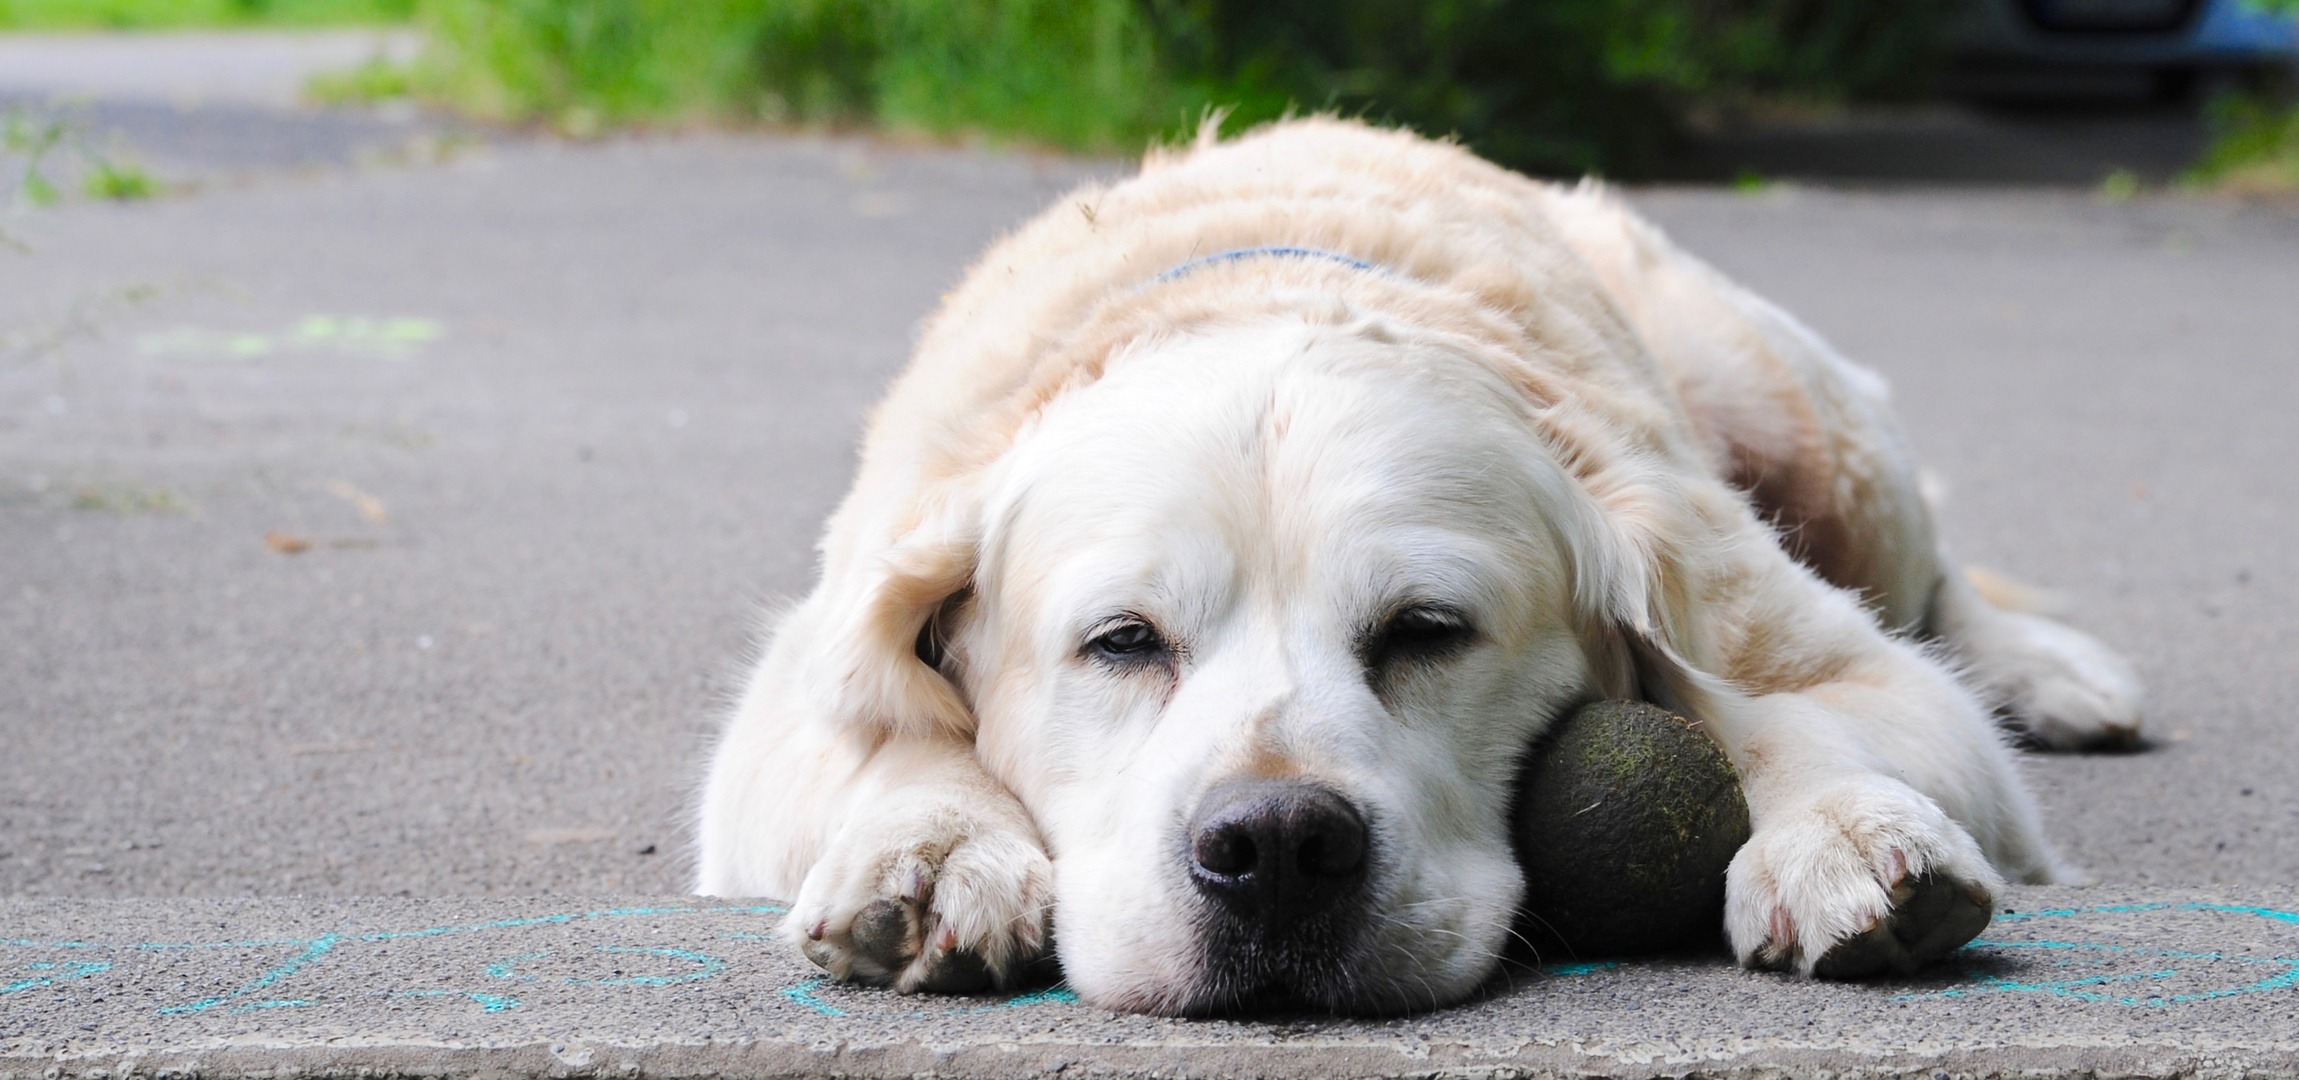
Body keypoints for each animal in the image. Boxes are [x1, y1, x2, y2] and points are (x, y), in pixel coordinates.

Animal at [689, 122, 2142, 1015]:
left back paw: (2054, 674)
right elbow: (887, 737)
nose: (1274, 849)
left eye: (1427, 631)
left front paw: (1840, 832)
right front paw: (932, 844)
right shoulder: (797, 688)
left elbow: (1803, 711)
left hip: (1802, 423)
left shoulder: (1818, 647)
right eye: (1123, 642)